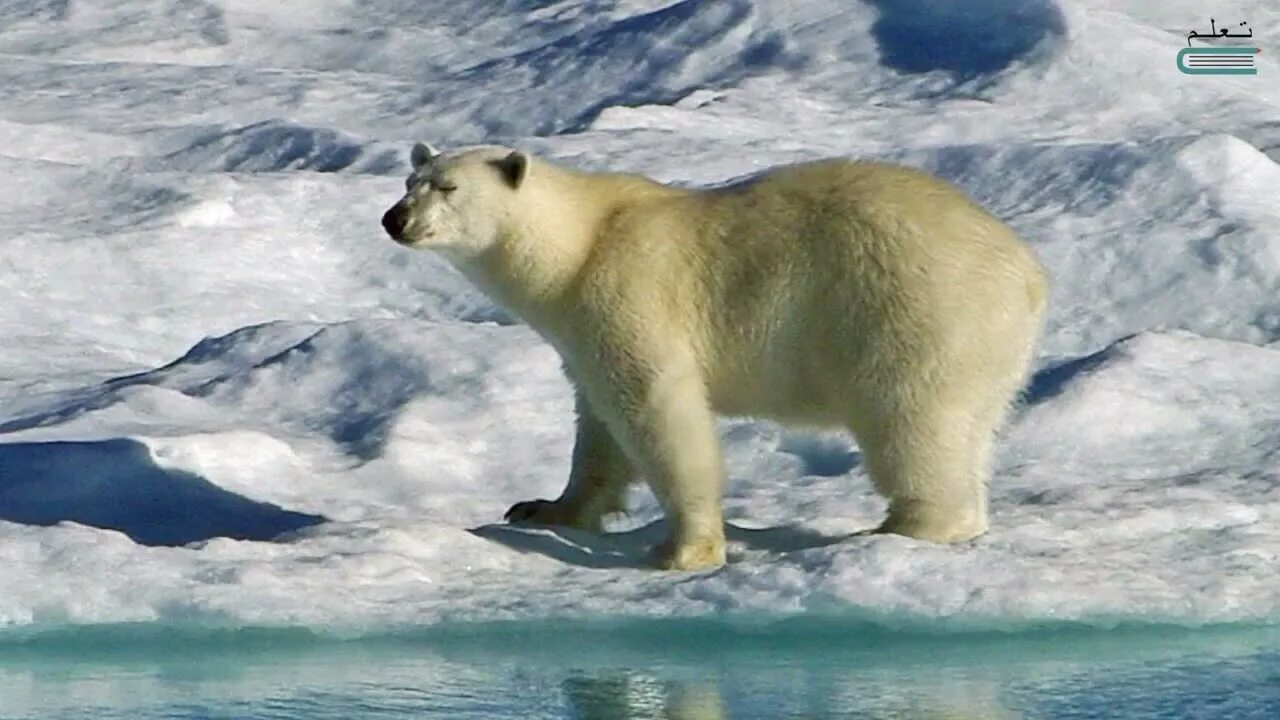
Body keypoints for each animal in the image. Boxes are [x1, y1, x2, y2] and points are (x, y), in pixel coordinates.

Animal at [378, 142, 1049, 568]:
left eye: (448, 187)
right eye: (409, 182)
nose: (394, 219)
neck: (578, 247)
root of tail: (1027, 273)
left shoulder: (629, 290)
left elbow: (659, 411)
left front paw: (683, 550)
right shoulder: (580, 331)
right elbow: (597, 426)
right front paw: (543, 508)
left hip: (914, 311)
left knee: (910, 420)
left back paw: (901, 526)